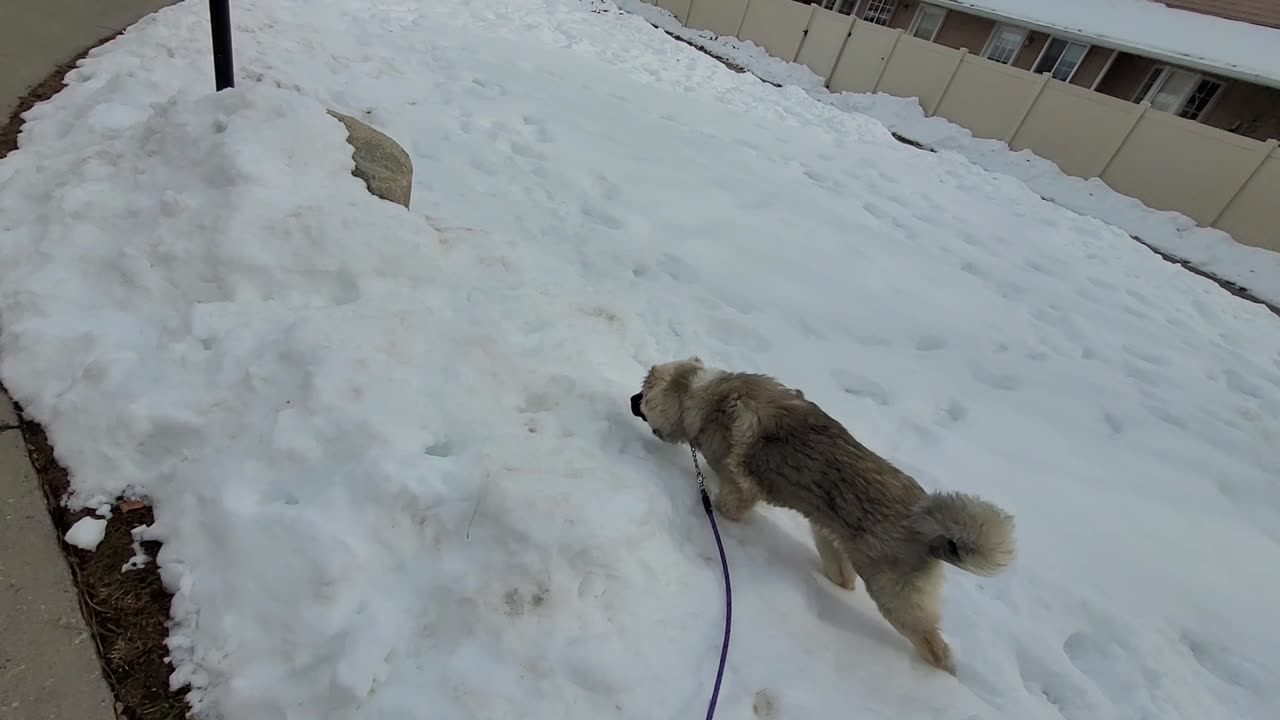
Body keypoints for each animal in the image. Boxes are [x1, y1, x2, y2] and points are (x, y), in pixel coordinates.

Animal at [627, 356, 1008, 671]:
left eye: (644, 391)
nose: (631, 399)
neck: (705, 397)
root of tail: (927, 526)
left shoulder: (741, 489)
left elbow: (728, 503)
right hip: (830, 542)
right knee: (843, 578)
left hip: (896, 599)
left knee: (935, 646)